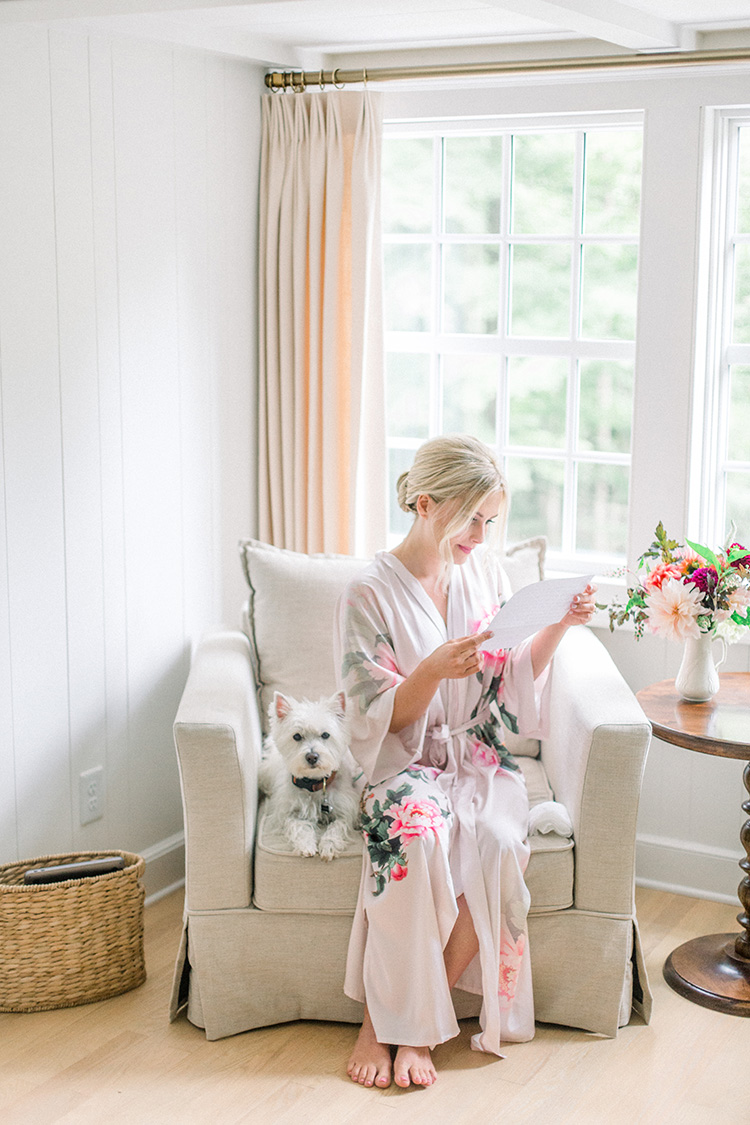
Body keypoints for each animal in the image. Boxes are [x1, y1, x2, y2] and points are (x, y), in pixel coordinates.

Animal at [259, 684, 362, 859]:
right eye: (297, 736)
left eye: (326, 735)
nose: (312, 757)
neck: (314, 784)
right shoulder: (286, 812)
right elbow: (299, 826)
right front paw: (306, 846)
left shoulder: (346, 811)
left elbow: (336, 828)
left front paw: (328, 847)